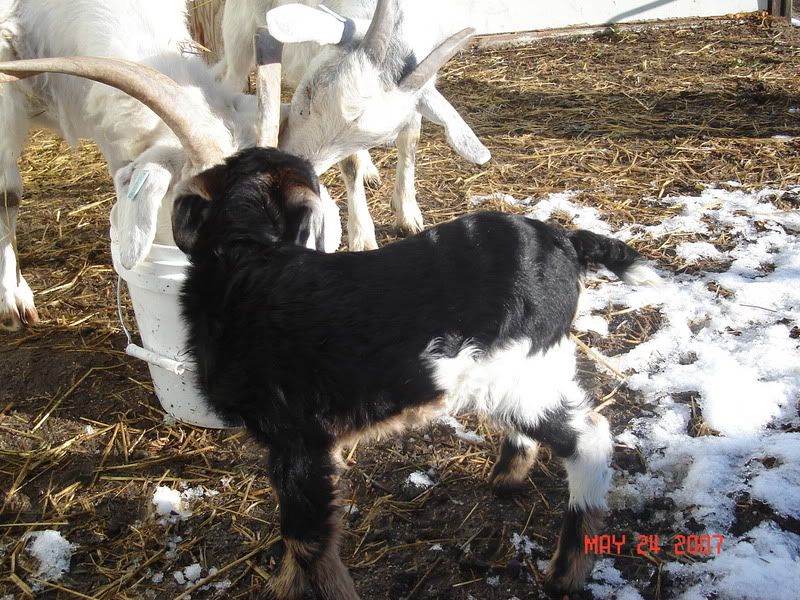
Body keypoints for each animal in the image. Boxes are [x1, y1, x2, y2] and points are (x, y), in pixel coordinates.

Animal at [172, 146, 663, 599]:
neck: (243, 260)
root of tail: (565, 241)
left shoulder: (298, 439)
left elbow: (305, 540)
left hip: (523, 371)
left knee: (591, 438)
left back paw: (565, 572)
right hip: (518, 375)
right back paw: (506, 479)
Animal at [215, 0, 491, 250]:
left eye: (372, 139)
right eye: (309, 90)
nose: (284, 168)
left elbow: (409, 139)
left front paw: (407, 212)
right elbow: (351, 165)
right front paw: (363, 238)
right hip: (240, 34)